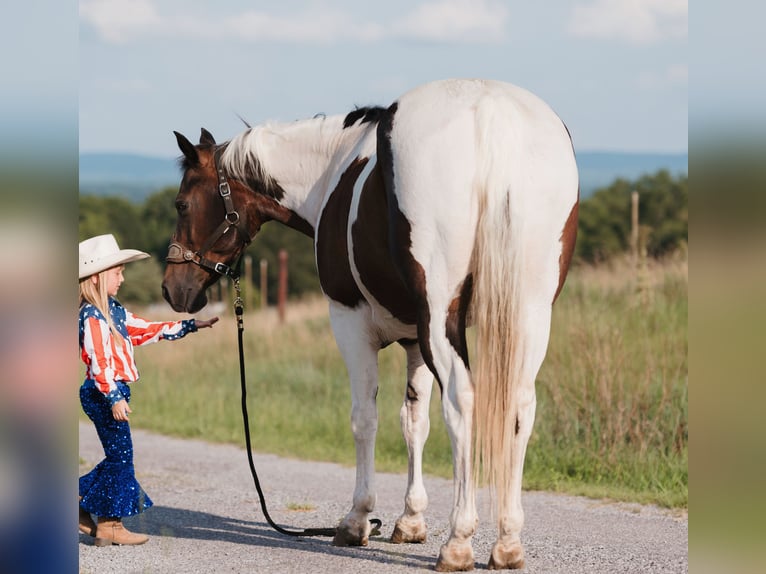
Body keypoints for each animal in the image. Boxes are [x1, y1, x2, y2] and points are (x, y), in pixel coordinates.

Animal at [164, 80, 584, 572]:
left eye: (182, 204)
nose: (174, 289)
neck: (332, 169)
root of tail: (490, 112)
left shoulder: (351, 321)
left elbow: (365, 417)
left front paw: (357, 520)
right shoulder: (415, 339)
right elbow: (414, 421)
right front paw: (411, 521)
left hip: (445, 318)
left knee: (462, 402)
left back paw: (459, 541)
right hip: (530, 314)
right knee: (520, 405)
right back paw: (508, 542)